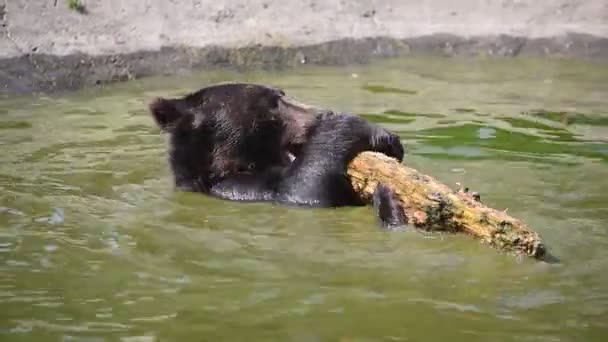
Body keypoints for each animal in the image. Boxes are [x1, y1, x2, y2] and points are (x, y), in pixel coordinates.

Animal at [150, 82, 408, 228]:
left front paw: (388, 141)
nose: (322, 113)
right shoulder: (239, 189)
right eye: (273, 103)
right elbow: (305, 190)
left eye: (281, 94)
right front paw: (358, 126)